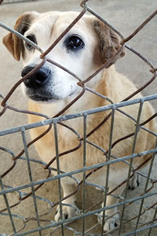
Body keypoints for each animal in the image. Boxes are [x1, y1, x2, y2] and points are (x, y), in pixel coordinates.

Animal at [3, 11, 156, 232]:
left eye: (75, 41)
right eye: (29, 41)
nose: (31, 75)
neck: (70, 122)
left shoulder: (117, 173)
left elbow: (112, 197)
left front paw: (109, 215)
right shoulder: (60, 168)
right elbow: (67, 187)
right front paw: (68, 207)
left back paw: (133, 176)